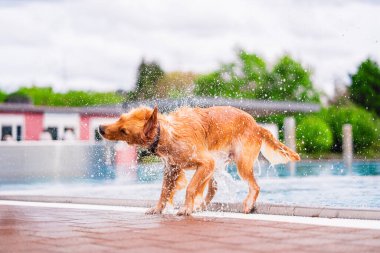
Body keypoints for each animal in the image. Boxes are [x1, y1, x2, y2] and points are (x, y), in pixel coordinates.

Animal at [99, 105, 302, 215]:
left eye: (124, 131)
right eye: (120, 118)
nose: (100, 128)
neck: (165, 134)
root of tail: (257, 126)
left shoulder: (205, 163)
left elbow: (190, 188)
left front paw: (186, 208)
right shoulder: (172, 169)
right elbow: (164, 192)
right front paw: (157, 209)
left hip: (240, 164)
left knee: (255, 186)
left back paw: (248, 204)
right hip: (219, 165)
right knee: (213, 189)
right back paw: (201, 206)